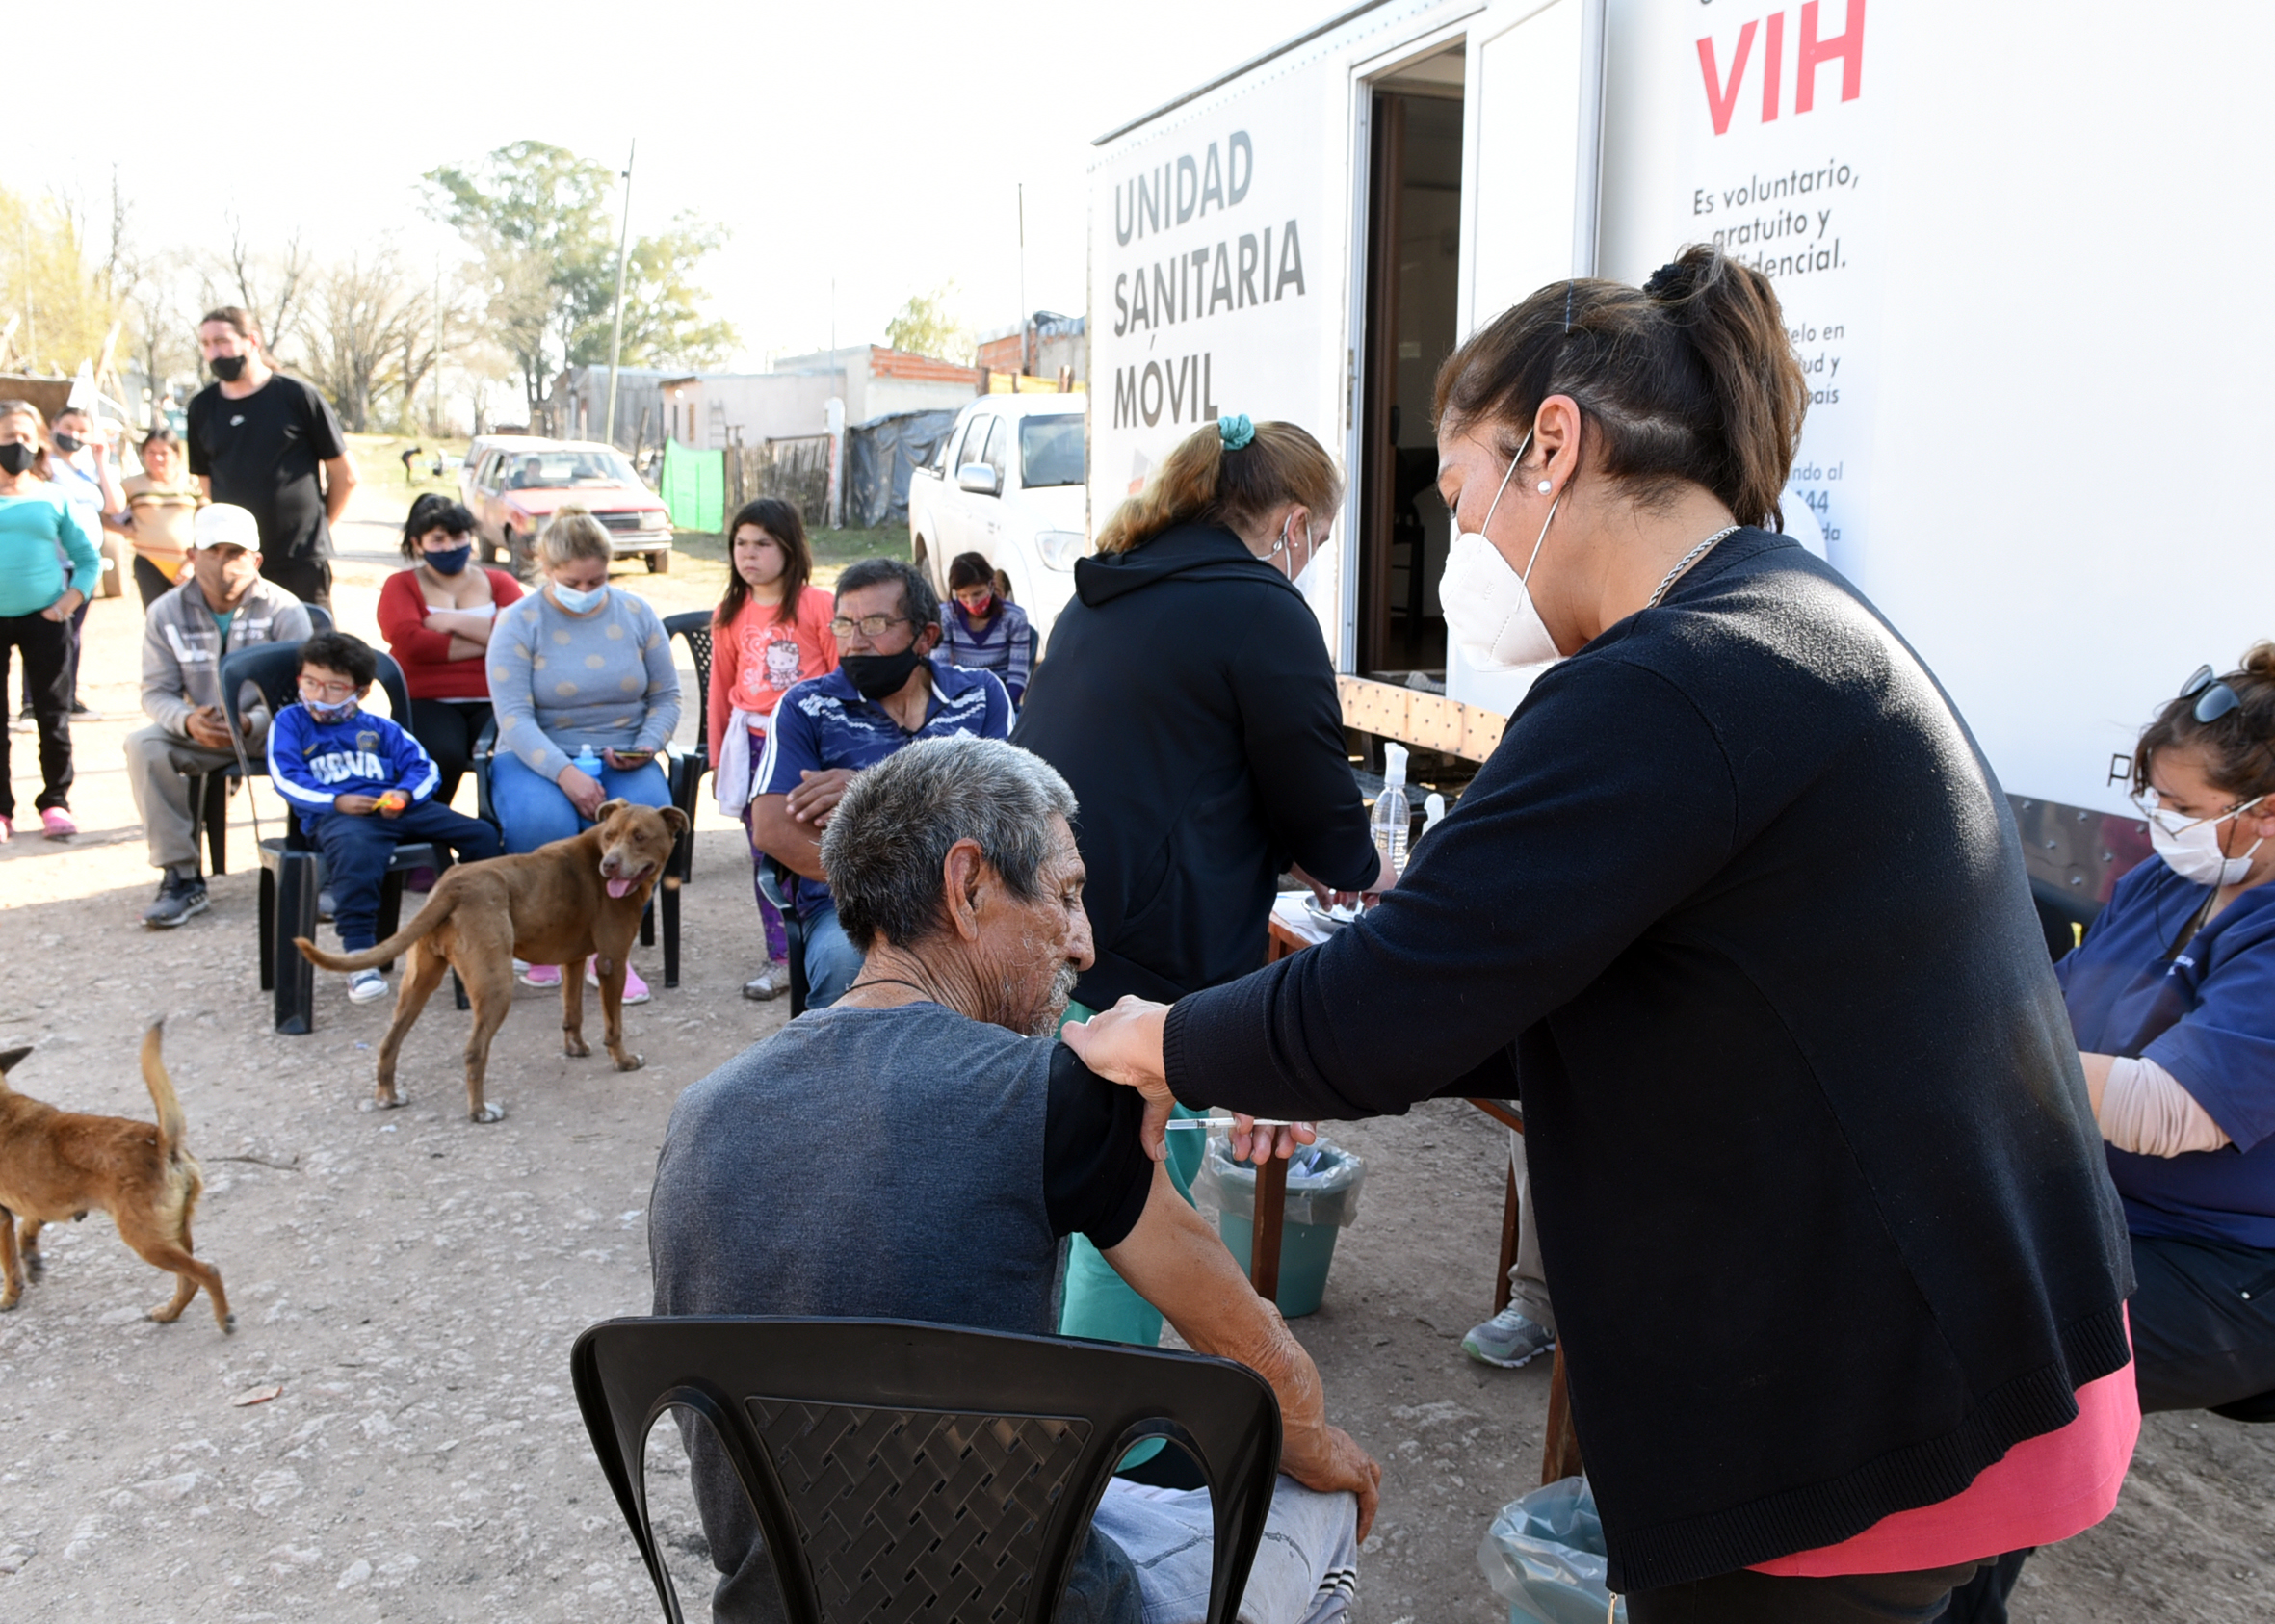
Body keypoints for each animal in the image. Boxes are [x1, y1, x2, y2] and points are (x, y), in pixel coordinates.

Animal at [0, 1023, 233, 1328]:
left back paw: (223, 1319)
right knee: (189, 1280)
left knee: (207, 1271)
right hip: (173, 1233)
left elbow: (8, 1262)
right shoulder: (44, 1203)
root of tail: (160, 1141)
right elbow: (27, 1229)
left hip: (146, 1239)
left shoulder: (3, 1216)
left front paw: (9, 1296)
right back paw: (169, 1313)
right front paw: (31, 1260)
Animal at [293, 800, 687, 1128]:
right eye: (609, 837)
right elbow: (614, 1026)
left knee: (389, 1042)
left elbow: (571, 1013)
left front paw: (575, 1048)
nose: (609, 866)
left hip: (419, 981)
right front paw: (623, 1061)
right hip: (496, 987)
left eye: (639, 837)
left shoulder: (573, 961)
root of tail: (453, 885)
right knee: (473, 1051)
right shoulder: (611, 962)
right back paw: (480, 1111)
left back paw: (388, 1096)